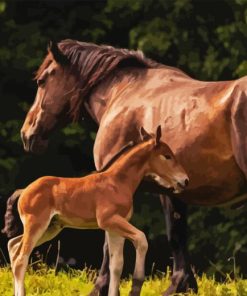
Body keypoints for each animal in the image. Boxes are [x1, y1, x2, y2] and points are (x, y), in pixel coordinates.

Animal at [6, 127, 187, 296]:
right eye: (167, 156)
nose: (184, 180)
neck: (117, 183)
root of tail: (24, 190)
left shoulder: (115, 228)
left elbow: (116, 265)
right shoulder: (109, 220)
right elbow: (141, 239)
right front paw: (136, 286)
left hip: (51, 228)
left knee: (13, 246)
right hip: (36, 225)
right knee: (21, 258)